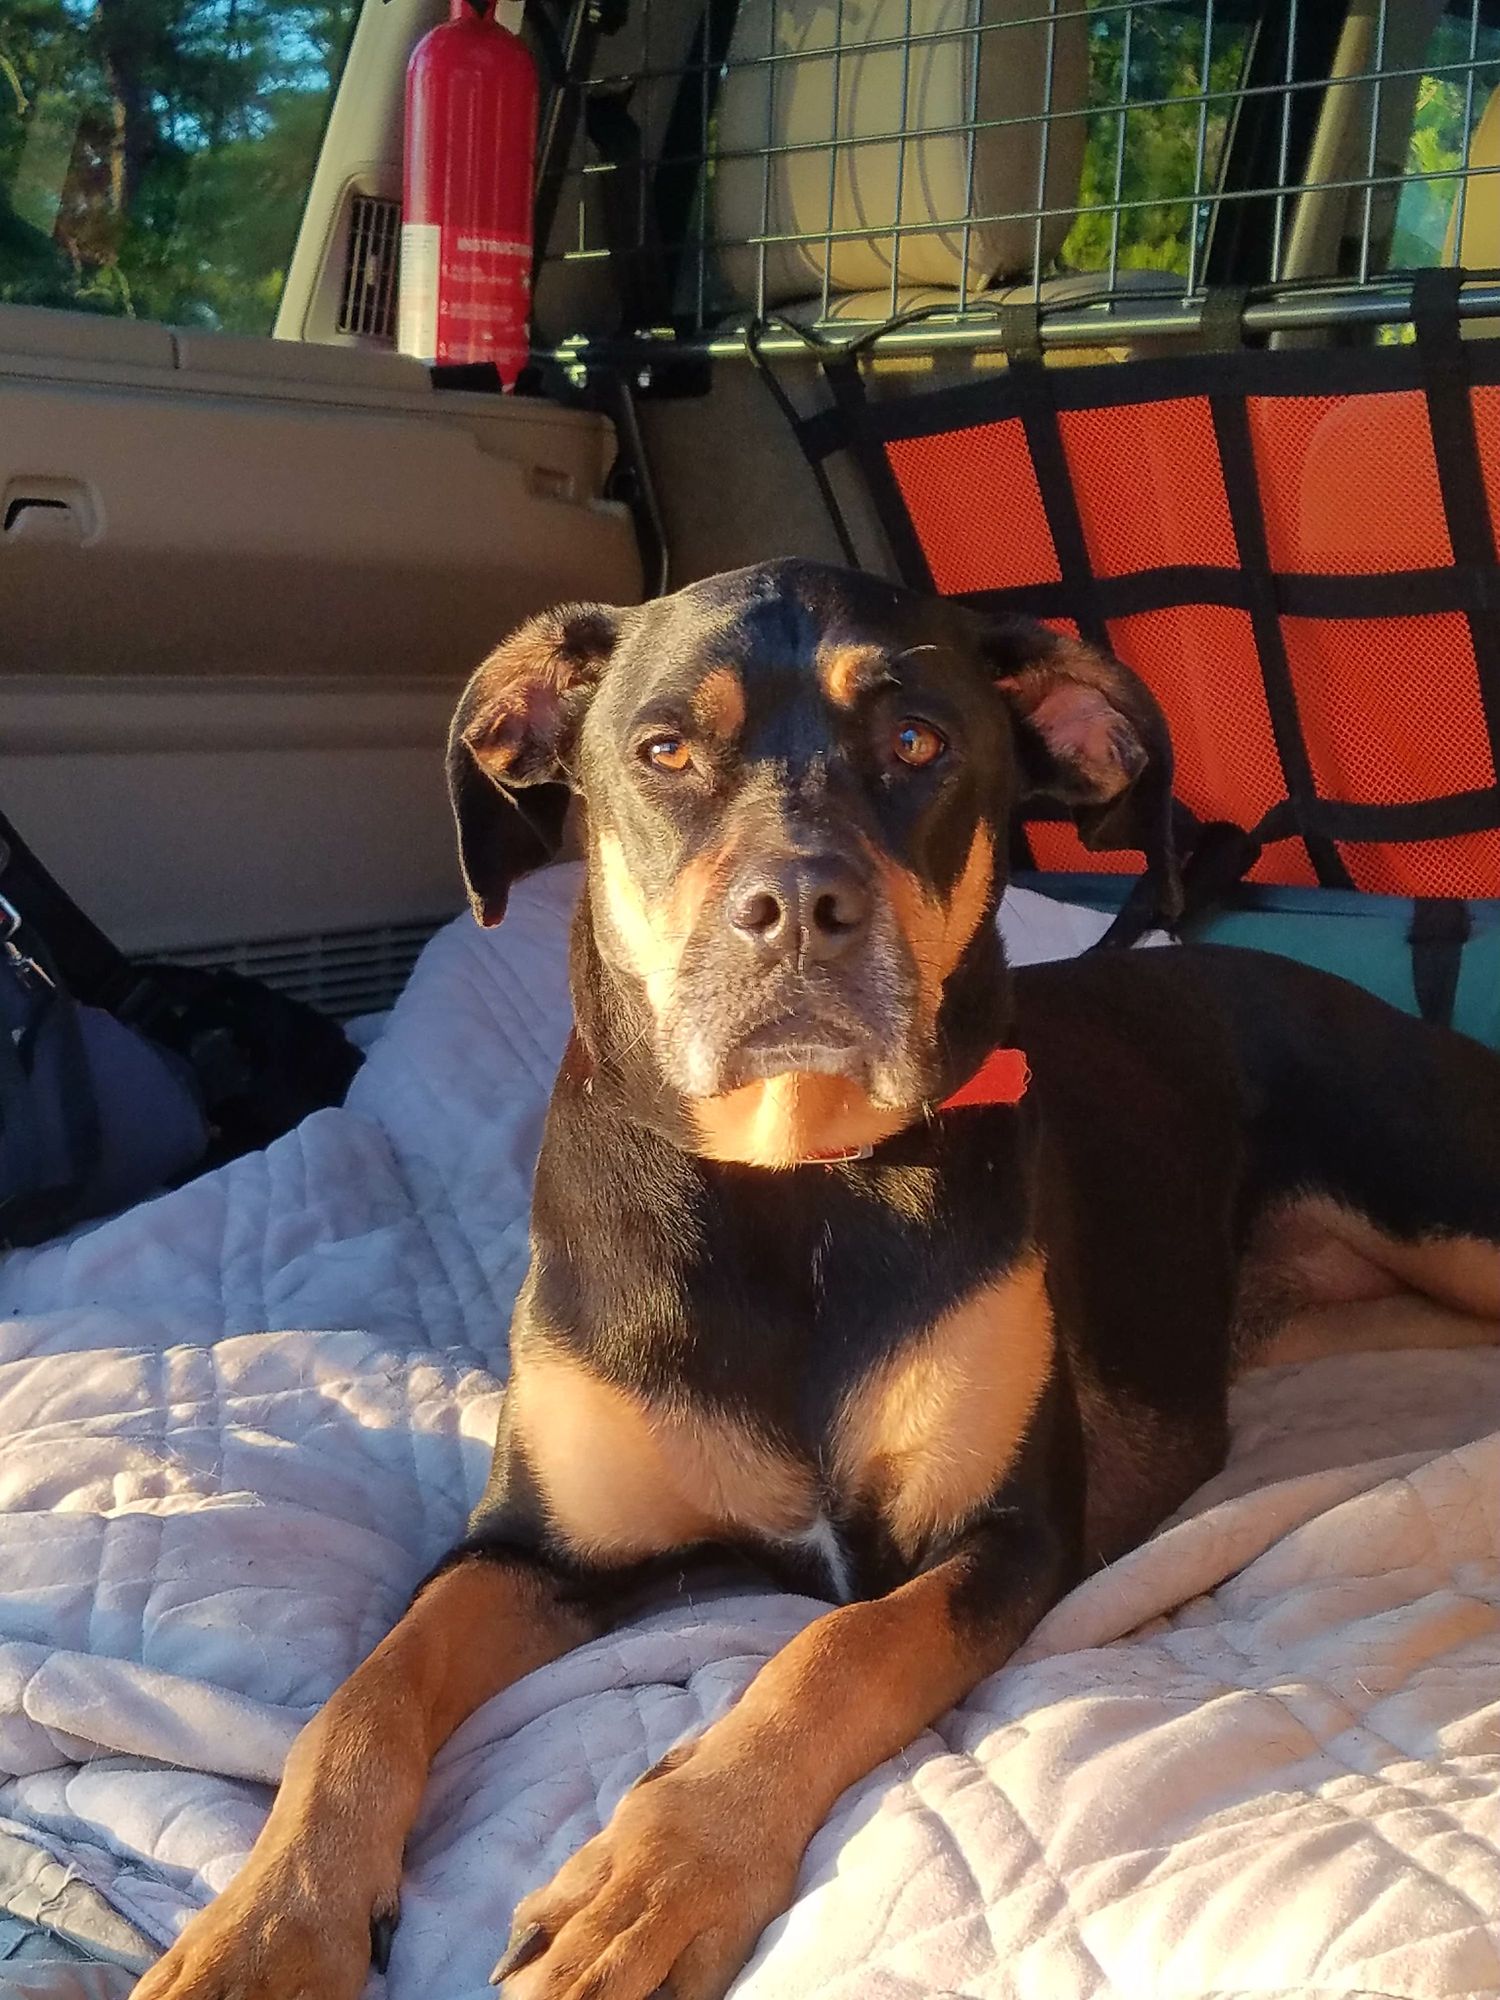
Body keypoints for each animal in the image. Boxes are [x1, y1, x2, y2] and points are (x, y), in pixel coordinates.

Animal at [136, 559, 1500, 2000]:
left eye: (918, 742)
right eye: (663, 751)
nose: (797, 909)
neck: (788, 1180)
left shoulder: (1003, 1535)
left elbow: (837, 1649)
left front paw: (659, 1877)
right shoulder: (531, 1547)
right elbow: (365, 1693)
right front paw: (263, 1926)